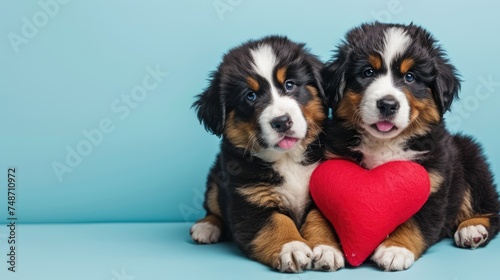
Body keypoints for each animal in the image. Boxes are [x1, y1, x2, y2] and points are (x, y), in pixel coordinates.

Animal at [190, 36, 344, 272]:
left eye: (290, 84)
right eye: (250, 96)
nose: (282, 122)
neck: (287, 159)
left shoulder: (320, 191)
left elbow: (320, 221)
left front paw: (327, 249)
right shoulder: (250, 198)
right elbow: (276, 224)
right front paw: (292, 248)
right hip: (217, 178)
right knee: (213, 206)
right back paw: (206, 227)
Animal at [320, 22, 500, 272]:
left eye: (410, 77)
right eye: (368, 72)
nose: (387, 104)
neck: (384, 143)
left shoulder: (432, 182)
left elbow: (415, 222)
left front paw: (395, 250)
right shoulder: (330, 168)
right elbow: (323, 218)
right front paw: (326, 249)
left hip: (471, 156)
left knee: (491, 208)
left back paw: (472, 229)